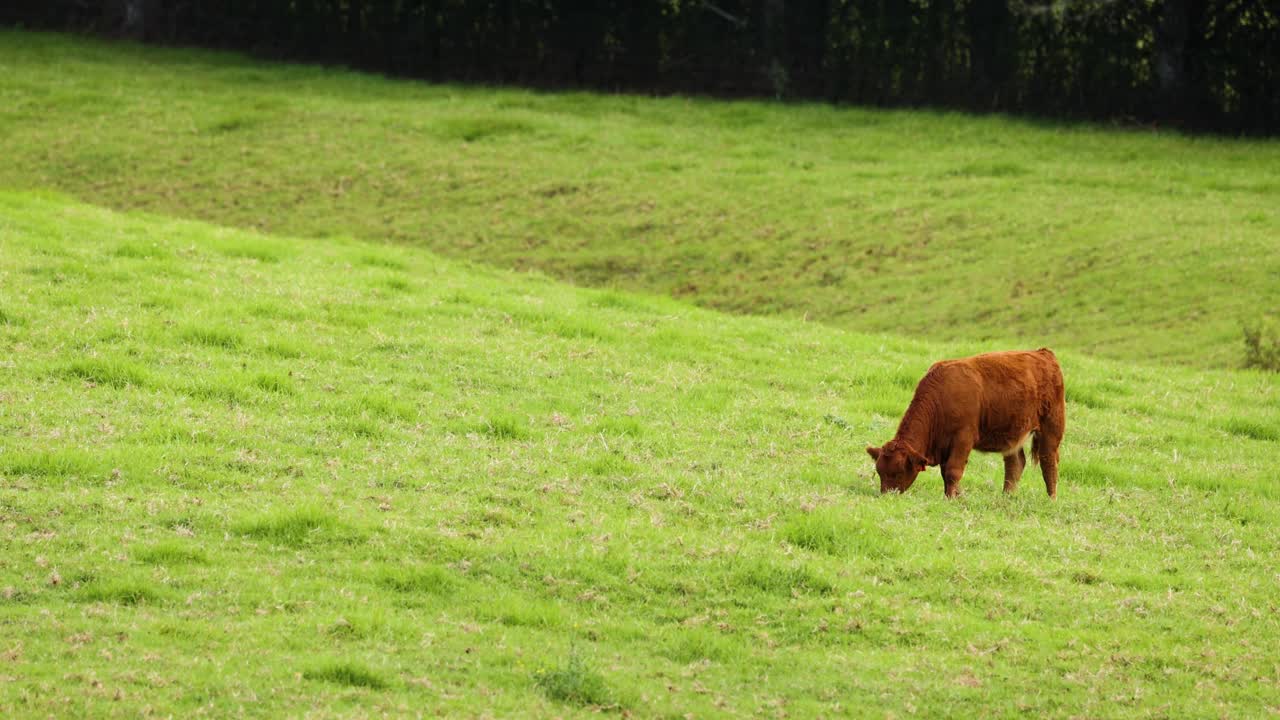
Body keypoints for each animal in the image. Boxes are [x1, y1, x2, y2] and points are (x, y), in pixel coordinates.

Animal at [865, 345, 1064, 491]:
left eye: (898, 472)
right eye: (880, 472)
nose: (887, 495)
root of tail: (1043, 354)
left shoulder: (963, 439)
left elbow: (953, 471)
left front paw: (952, 499)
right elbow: (946, 473)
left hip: (1051, 427)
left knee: (1048, 463)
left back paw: (1051, 499)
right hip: (1013, 435)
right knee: (1015, 465)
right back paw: (1007, 497)